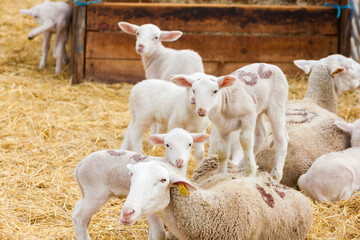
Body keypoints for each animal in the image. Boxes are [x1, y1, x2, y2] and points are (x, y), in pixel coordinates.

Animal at [73, 128, 208, 240]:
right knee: (79, 217)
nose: (179, 161)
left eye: (189, 144)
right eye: (167, 145)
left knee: (77, 210)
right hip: (95, 193)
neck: (167, 163)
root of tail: (80, 166)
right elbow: (158, 232)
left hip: (87, 192)